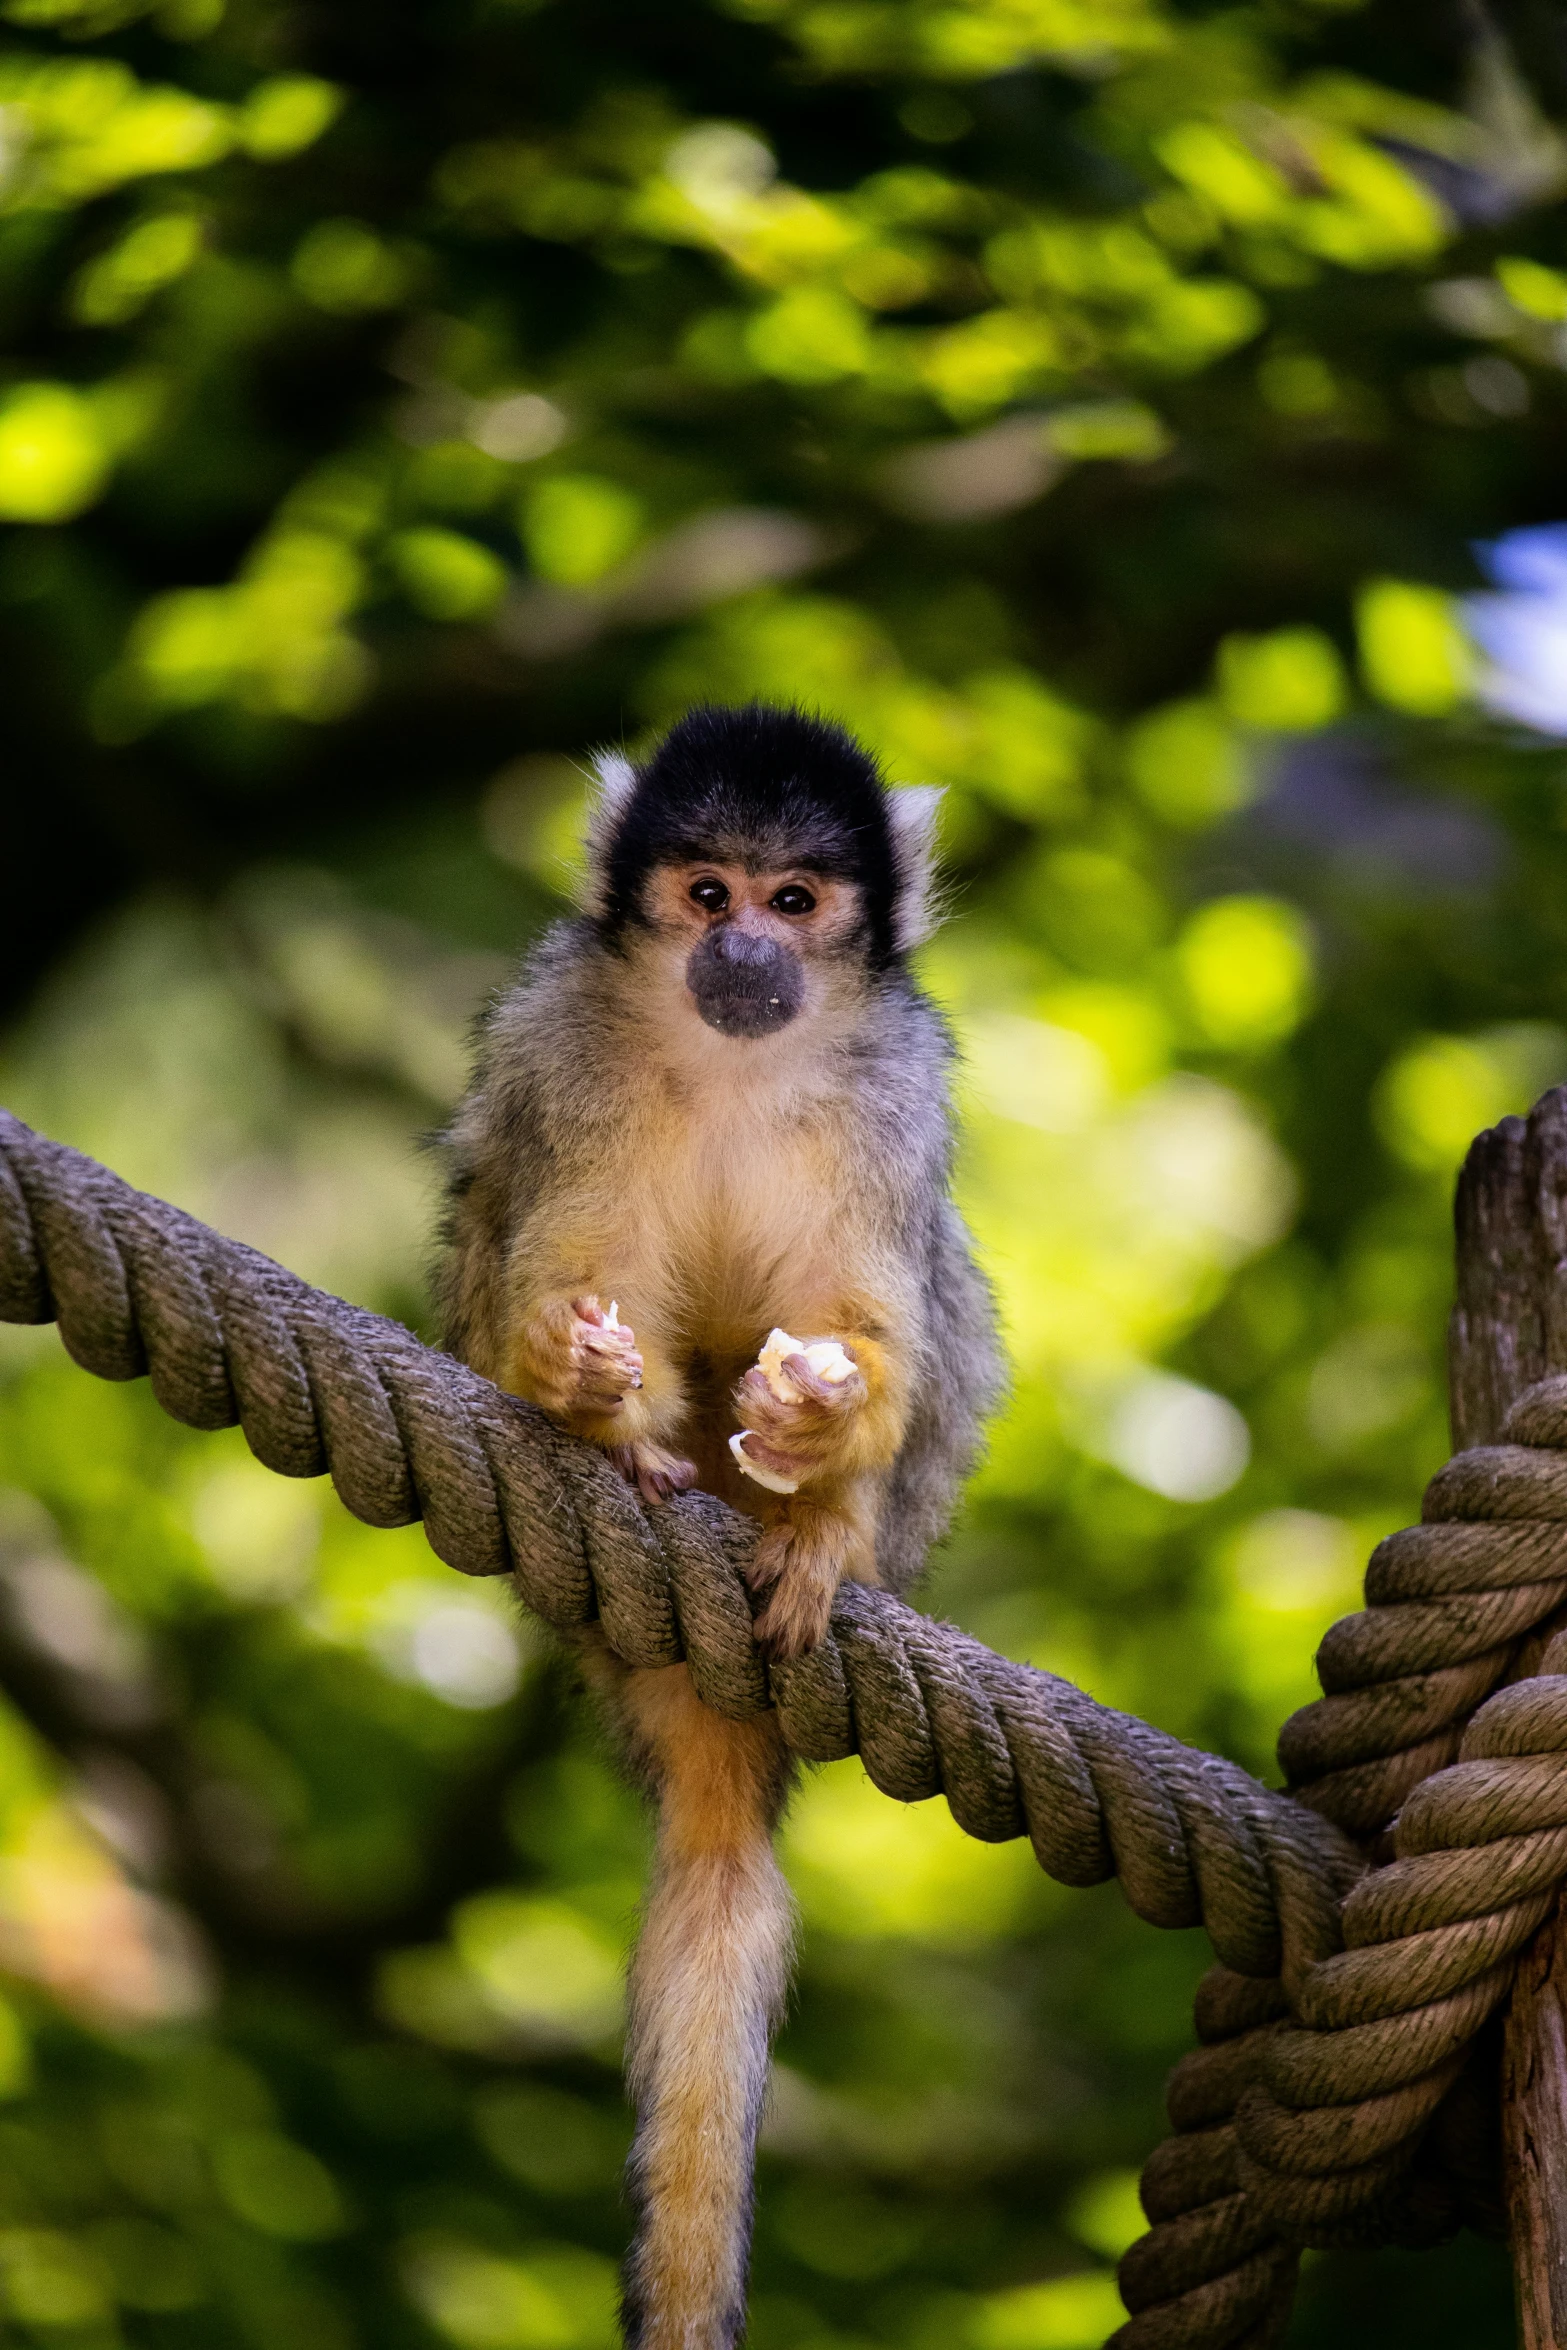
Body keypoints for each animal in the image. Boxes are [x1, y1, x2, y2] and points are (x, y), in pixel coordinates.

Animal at [444, 705, 1005, 2350]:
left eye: (793, 901)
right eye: (705, 894)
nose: (744, 951)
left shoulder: (896, 1078)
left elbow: (874, 1303)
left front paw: (822, 1421)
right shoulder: (563, 1032)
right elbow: (562, 1242)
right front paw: (576, 1378)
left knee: (935, 1285)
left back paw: (817, 1534)